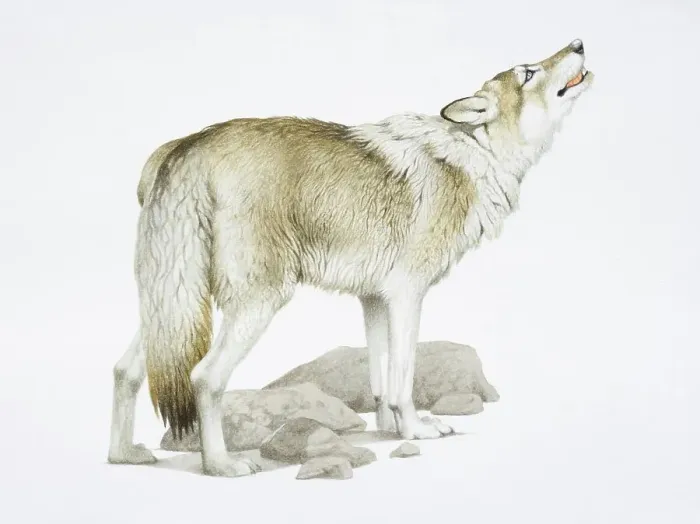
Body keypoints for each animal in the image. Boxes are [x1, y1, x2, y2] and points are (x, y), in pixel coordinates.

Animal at [107, 40, 593, 476]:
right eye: (528, 72)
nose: (579, 43)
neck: (475, 154)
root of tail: (187, 147)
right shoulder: (407, 294)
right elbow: (402, 378)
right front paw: (415, 429)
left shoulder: (374, 299)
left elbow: (379, 378)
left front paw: (387, 431)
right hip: (257, 303)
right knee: (205, 378)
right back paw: (221, 465)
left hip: (171, 307)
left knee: (125, 370)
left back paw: (123, 455)